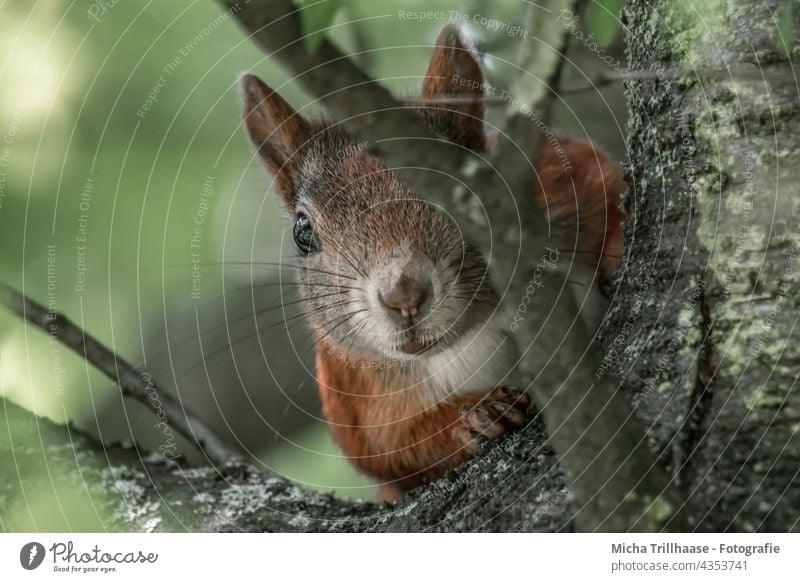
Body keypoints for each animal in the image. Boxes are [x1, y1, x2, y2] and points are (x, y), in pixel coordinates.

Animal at [241, 25, 628, 504]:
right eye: (302, 233)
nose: (403, 296)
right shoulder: (351, 393)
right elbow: (395, 450)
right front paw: (476, 414)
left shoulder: (558, 181)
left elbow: (607, 184)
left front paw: (617, 251)